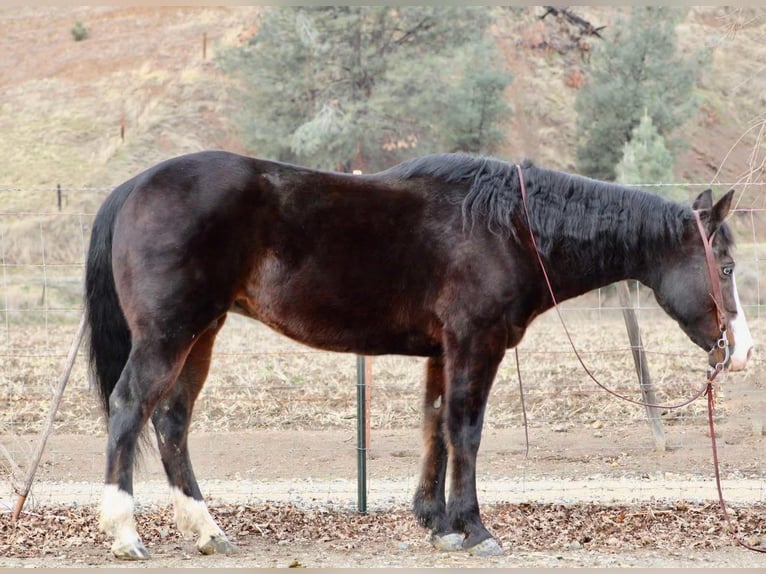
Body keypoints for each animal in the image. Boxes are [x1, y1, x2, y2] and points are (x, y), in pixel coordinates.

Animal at [84, 150, 753, 559]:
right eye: (725, 267)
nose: (742, 351)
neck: (510, 227)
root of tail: (136, 185)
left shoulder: (443, 351)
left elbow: (435, 426)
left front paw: (436, 522)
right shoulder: (475, 344)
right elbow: (466, 430)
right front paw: (474, 527)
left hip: (202, 334)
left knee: (172, 421)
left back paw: (207, 531)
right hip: (170, 335)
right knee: (129, 407)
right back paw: (125, 532)